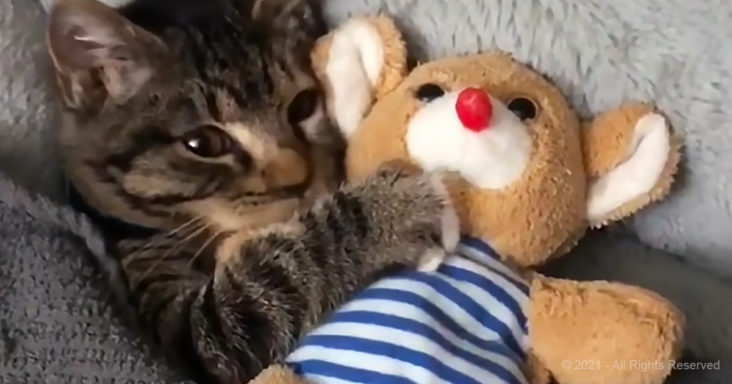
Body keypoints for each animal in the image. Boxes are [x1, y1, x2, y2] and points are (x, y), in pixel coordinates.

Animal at [45, 0, 454, 384]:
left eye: (303, 105)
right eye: (203, 143)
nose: (299, 177)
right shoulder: (190, 334)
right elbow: (273, 278)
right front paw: (391, 208)